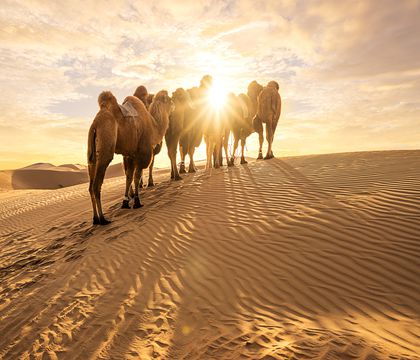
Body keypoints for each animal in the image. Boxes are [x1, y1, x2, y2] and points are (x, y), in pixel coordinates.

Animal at [87, 89, 172, 224]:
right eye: (169, 99)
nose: (174, 103)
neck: (153, 126)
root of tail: (95, 124)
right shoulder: (142, 153)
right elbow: (136, 177)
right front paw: (137, 202)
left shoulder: (130, 155)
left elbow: (128, 177)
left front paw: (125, 202)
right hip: (105, 147)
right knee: (96, 186)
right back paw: (103, 219)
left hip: (92, 156)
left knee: (90, 186)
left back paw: (95, 219)